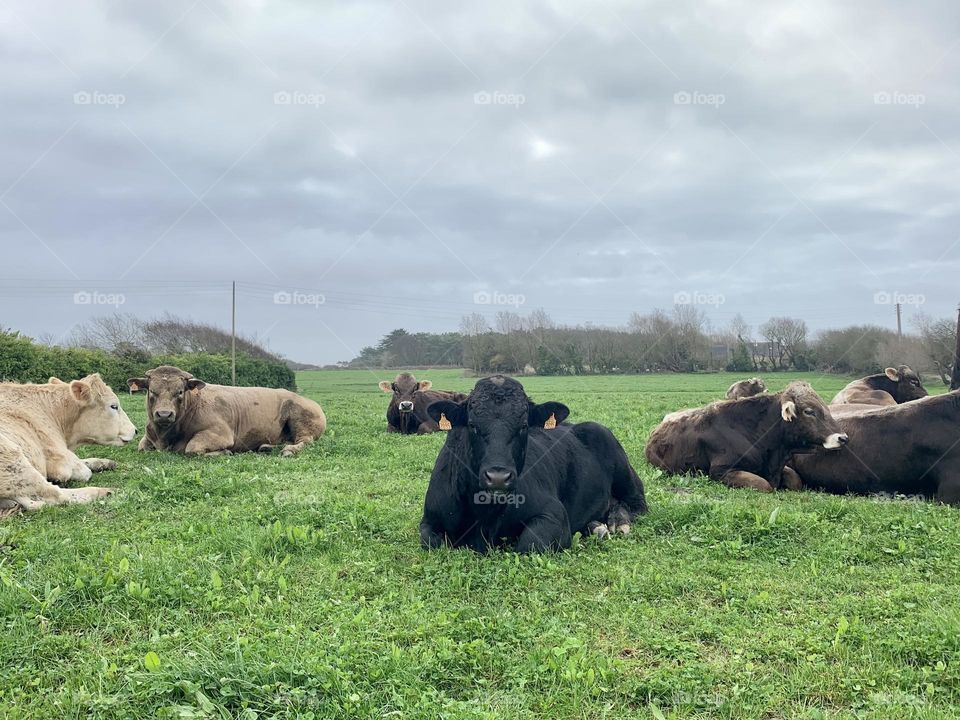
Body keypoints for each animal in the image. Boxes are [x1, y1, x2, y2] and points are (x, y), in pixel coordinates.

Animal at [0, 374, 136, 513]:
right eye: (114, 406)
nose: (135, 430)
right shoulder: (59, 458)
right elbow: (85, 471)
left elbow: (83, 461)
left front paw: (104, 463)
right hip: (14, 459)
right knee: (54, 495)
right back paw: (106, 491)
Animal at [128, 365, 326, 456]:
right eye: (152, 391)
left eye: (180, 392)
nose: (164, 414)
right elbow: (141, 447)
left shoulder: (220, 433)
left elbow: (192, 448)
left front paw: (225, 452)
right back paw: (266, 447)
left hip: (302, 423)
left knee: (304, 441)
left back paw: (289, 450)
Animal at [418, 375, 648, 553]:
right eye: (472, 425)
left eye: (524, 426)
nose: (498, 478)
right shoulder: (429, 520)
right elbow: (431, 541)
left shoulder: (553, 514)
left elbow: (529, 544)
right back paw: (596, 526)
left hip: (624, 473)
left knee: (637, 505)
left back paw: (619, 521)